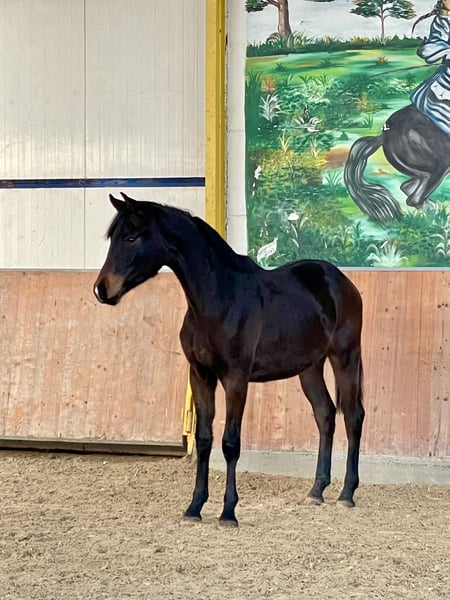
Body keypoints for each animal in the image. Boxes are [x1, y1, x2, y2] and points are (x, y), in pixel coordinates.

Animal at [94, 193, 365, 527]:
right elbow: (204, 438)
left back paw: (347, 493)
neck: (218, 300)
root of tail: (341, 280)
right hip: (310, 367)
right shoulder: (200, 375)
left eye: (131, 237)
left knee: (353, 417)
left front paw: (228, 512)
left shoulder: (236, 379)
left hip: (345, 357)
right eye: (113, 237)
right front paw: (194, 507)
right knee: (325, 414)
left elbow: (230, 443)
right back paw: (316, 491)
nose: (102, 289)